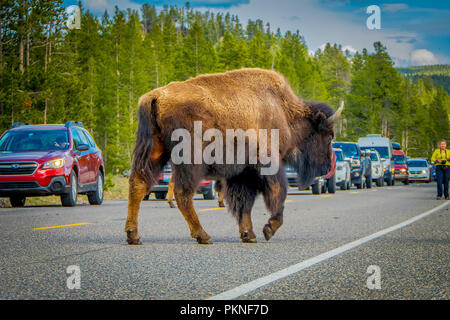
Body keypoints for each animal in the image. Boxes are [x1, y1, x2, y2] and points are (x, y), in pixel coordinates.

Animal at [125, 68, 342, 245]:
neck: (283, 110)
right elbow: (277, 192)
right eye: (329, 136)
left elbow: (243, 201)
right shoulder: (267, 163)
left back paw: (133, 236)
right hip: (190, 159)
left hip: (155, 151)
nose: (326, 167)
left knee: (138, 184)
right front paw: (269, 228)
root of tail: (156, 96)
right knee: (182, 193)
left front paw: (248, 235)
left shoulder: (241, 172)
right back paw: (203, 236)